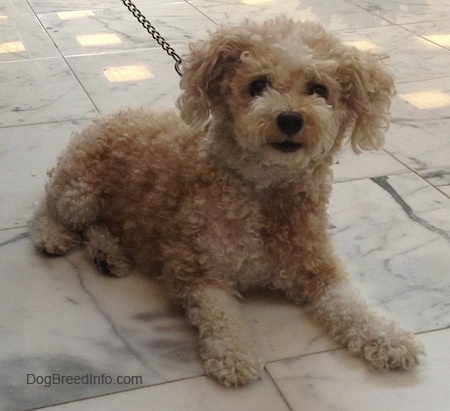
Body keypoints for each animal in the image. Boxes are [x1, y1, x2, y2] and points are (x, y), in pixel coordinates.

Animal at [30, 16, 426, 390]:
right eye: (258, 85)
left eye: (319, 89)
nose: (290, 119)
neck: (264, 192)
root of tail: (108, 117)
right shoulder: (195, 268)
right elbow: (222, 315)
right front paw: (235, 356)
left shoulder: (320, 267)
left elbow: (351, 304)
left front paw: (388, 337)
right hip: (78, 192)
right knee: (48, 211)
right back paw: (54, 238)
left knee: (97, 227)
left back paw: (108, 253)